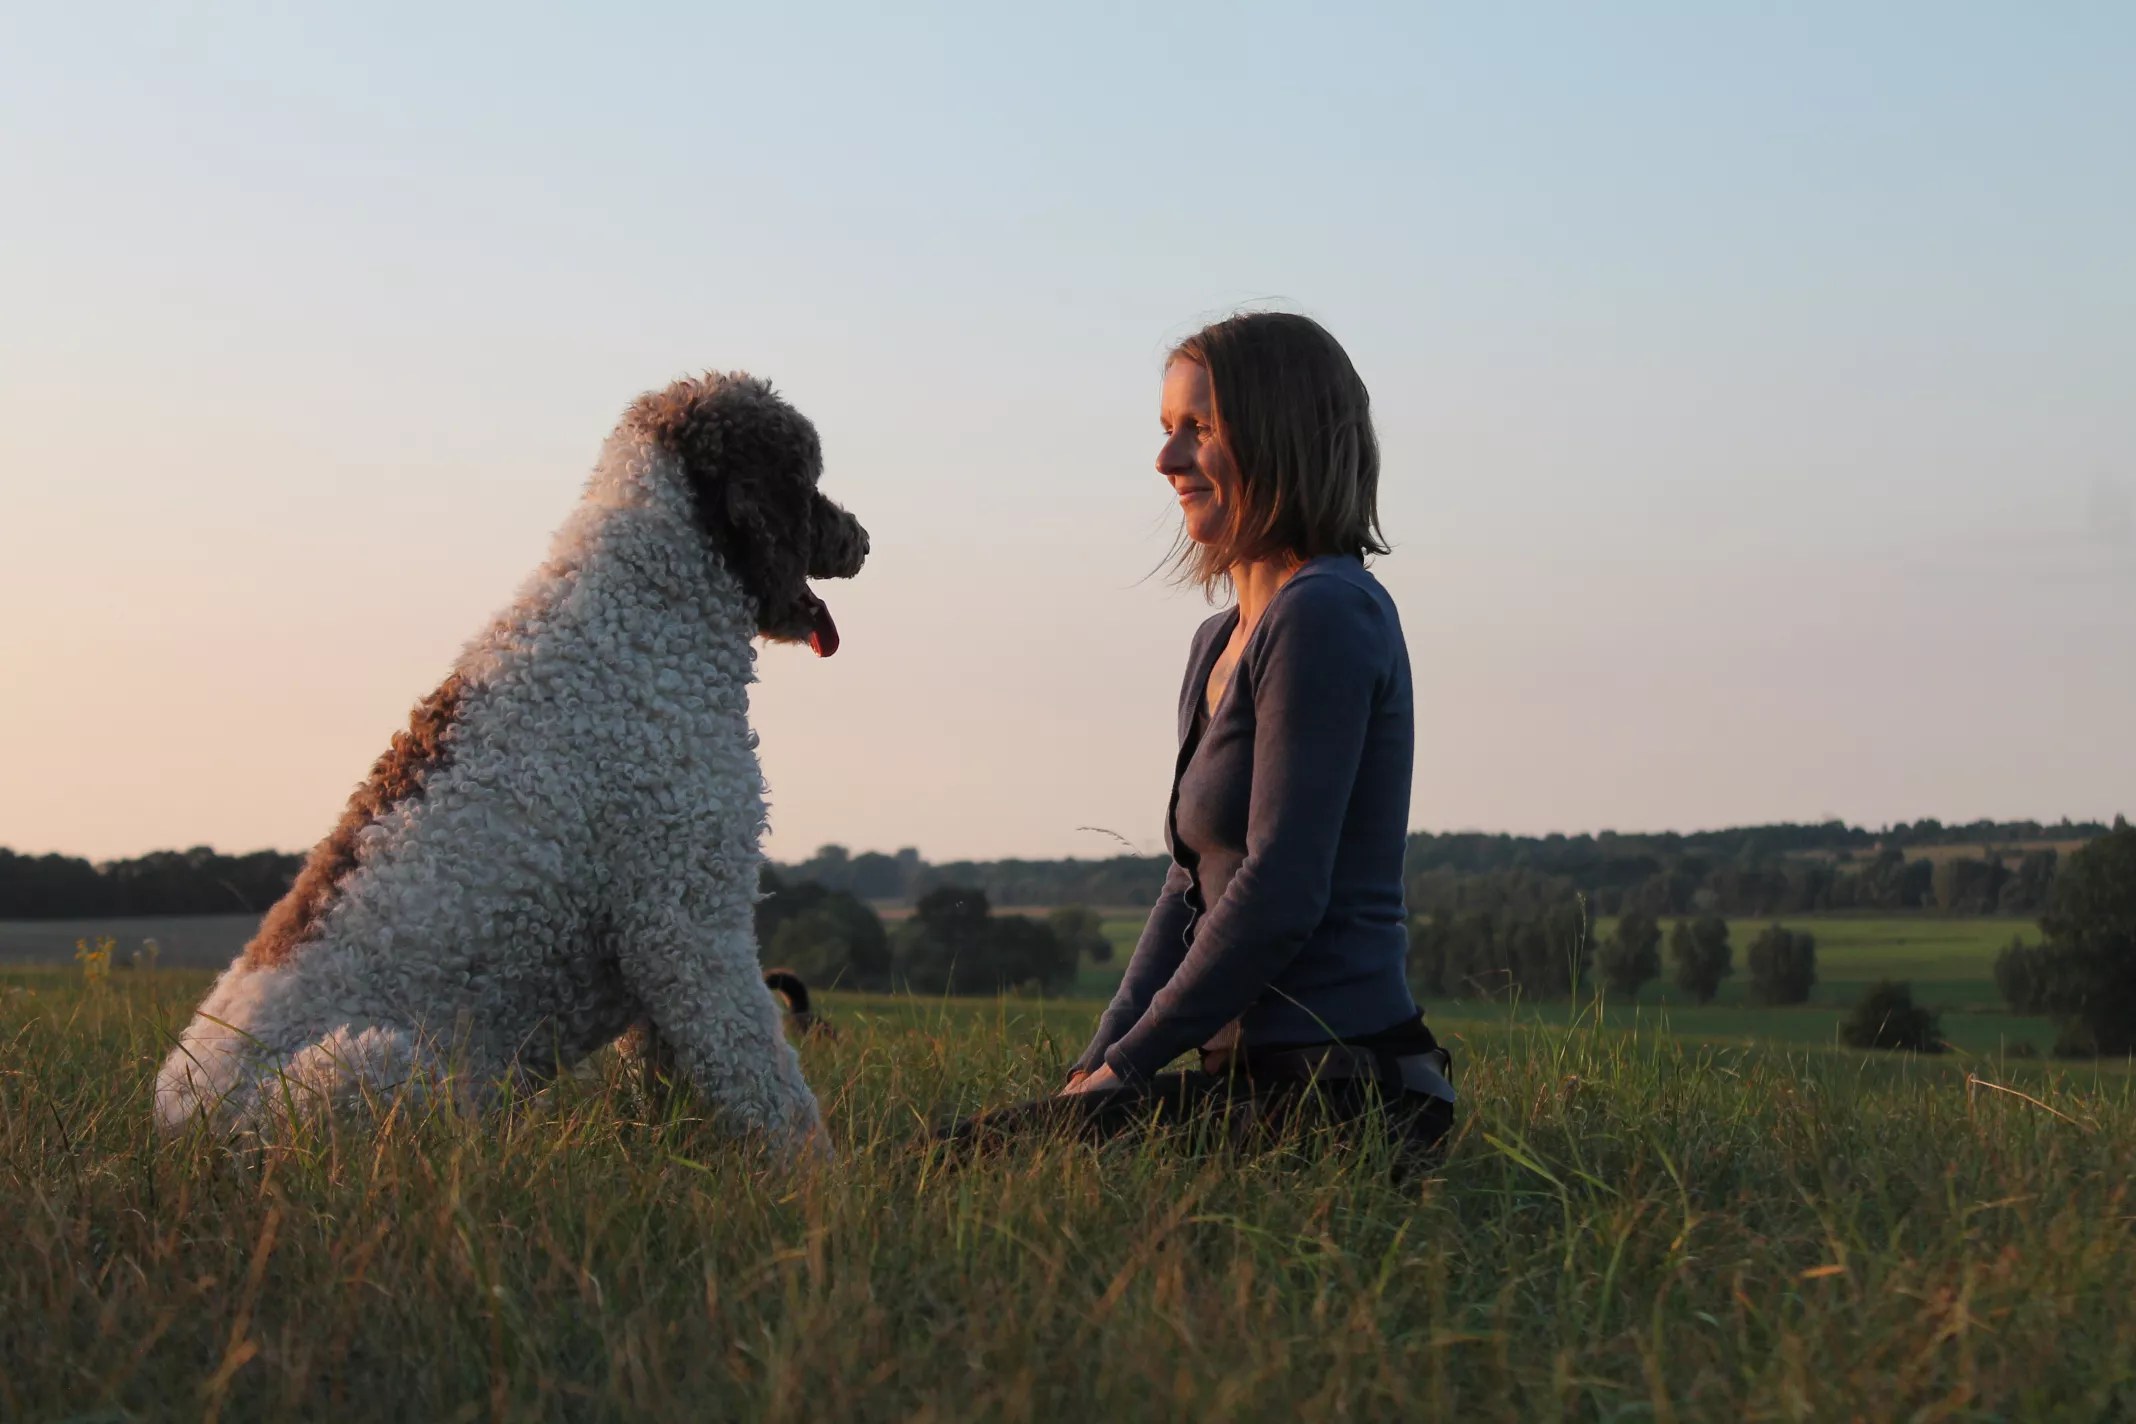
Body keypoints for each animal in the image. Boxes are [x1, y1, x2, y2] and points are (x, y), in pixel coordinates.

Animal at [150, 373, 871, 1152]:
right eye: (808, 479)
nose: (863, 539)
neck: (648, 608)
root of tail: (171, 1125)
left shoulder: (659, 945)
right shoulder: (687, 920)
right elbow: (767, 1084)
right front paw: (813, 1179)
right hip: (376, 1063)